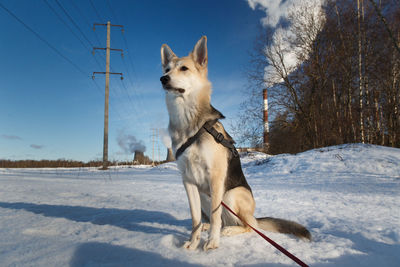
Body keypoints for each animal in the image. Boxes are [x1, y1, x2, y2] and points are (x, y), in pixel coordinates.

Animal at [159, 35, 310, 251]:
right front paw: (193, 241)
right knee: (218, 220)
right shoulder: (187, 180)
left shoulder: (215, 176)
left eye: (184, 68)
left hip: (229, 194)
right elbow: (195, 217)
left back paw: (228, 230)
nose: (163, 79)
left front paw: (212, 242)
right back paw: (207, 227)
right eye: (166, 69)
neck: (188, 121)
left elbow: (215, 217)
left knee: (247, 226)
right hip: (205, 195)